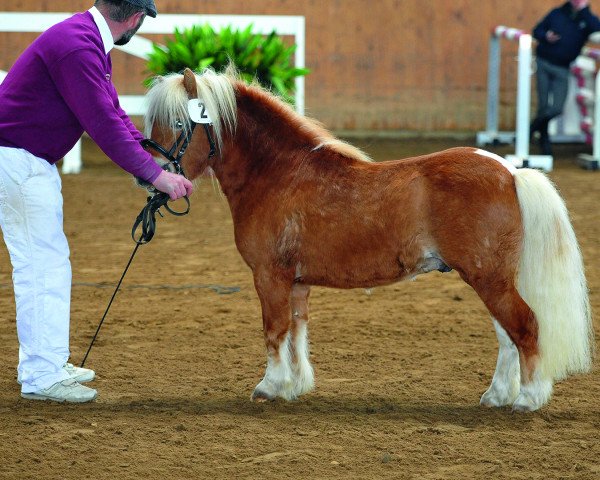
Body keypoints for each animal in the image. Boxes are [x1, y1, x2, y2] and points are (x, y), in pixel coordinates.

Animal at [142, 67, 596, 412]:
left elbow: (274, 331)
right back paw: (497, 395)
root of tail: (510, 172)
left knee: (526, 326)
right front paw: (295, 385)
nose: (151, 178)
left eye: (179, 124)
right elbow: (296, 332)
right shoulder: (297, 282)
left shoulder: (269, 277)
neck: (278, 173)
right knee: (507, 335)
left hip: (490, 279)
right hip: (491, 279)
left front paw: (269, 387)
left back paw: (528, 399)